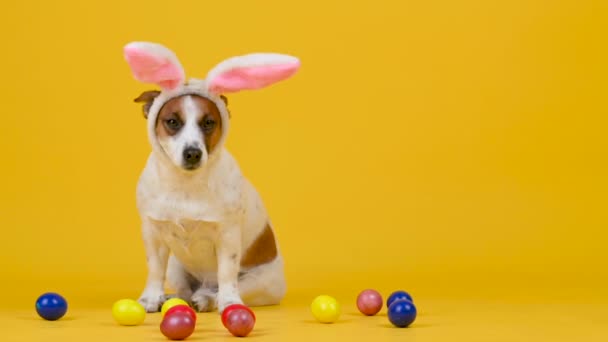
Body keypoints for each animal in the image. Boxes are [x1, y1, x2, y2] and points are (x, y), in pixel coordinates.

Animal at [124, 40, 302, 312]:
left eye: (208, 123)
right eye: (172, 122)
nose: (193, 153)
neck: (186, 185)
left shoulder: (227, 237)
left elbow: (227, 272)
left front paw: (229, 301)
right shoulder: (153, 234)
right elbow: (154, 270)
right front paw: (151, 298)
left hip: (259, 282)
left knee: (216, 288)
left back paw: (208, 299)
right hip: (177, 267)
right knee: (185, 290)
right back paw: (177, 298)